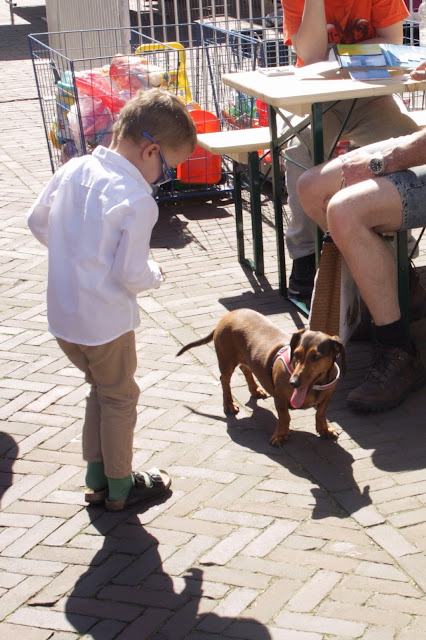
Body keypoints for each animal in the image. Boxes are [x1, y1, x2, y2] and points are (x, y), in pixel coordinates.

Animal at [176, 308, 346, 444]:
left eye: (315, 357)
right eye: (296, 354)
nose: (293, 383)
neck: (316, 385)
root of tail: (229, 314)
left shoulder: (327, 397)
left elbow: (321, 413)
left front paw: (325, 429)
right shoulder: (280, 398)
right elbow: (285, 417)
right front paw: (280, 435)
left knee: (246, 369)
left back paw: (255, 389)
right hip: (226, 362)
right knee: (224, 380)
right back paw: (229, 404)